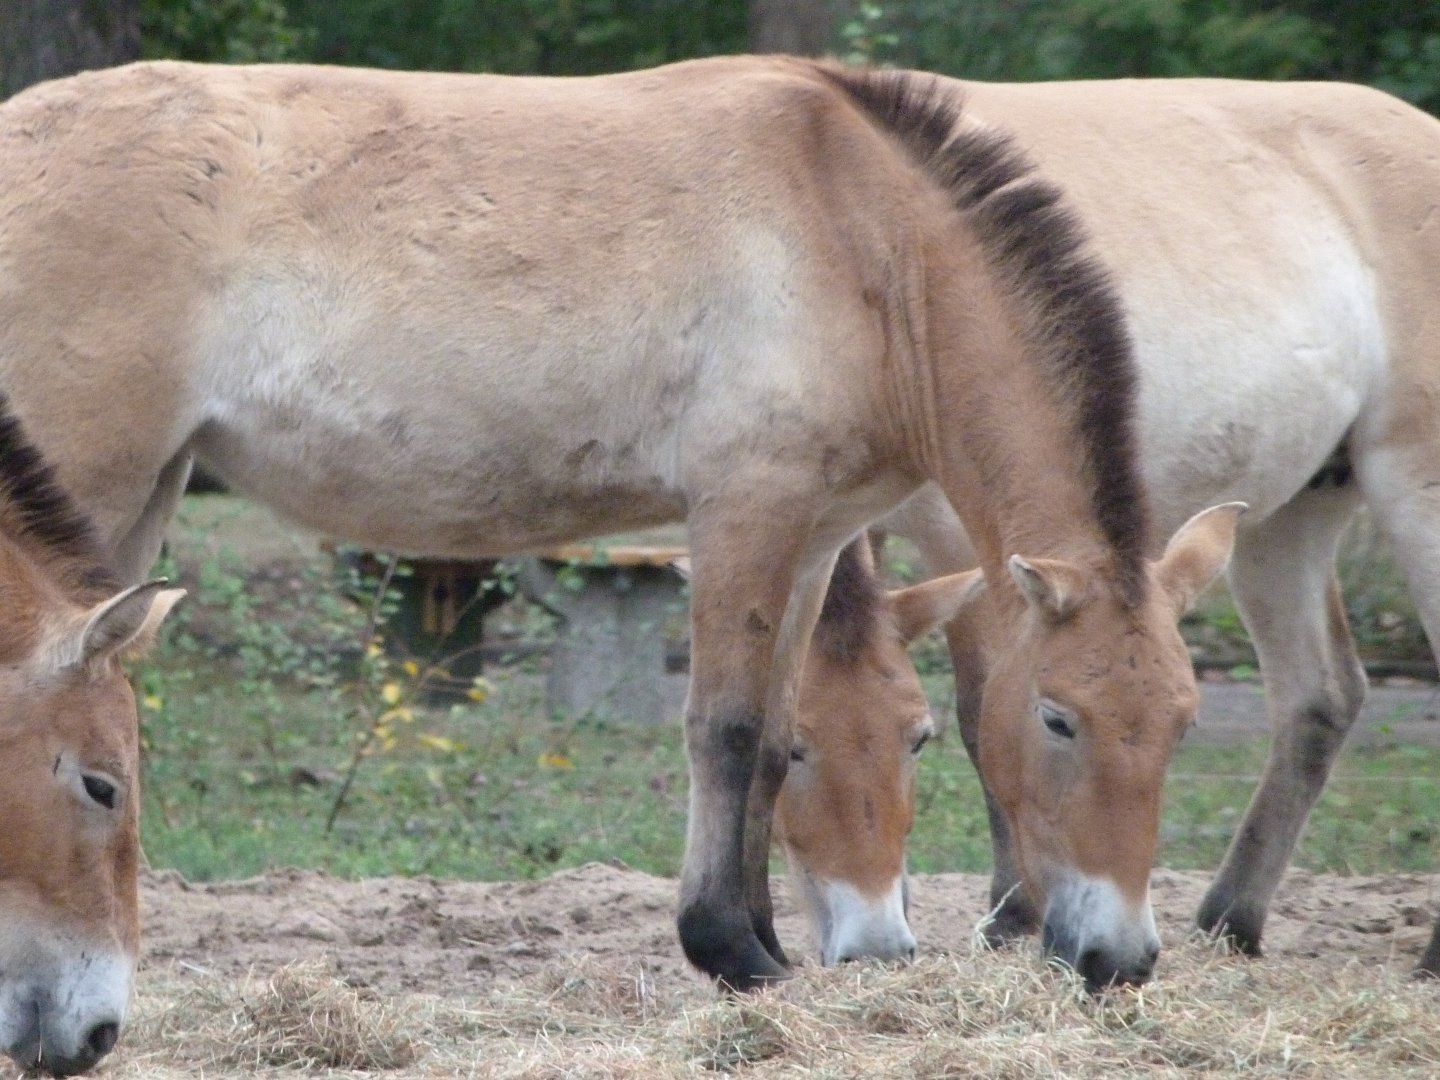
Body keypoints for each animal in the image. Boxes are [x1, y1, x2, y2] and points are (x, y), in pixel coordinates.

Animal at [775, 74, 1440, 980]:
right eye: (800, 750)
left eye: (916, 740)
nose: (869, 947)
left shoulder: (968, 541)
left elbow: (985, 712)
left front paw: (1014, 914)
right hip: (1288, 518)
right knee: (1320, 696)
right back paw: (1232, 920)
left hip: (1412, 491)